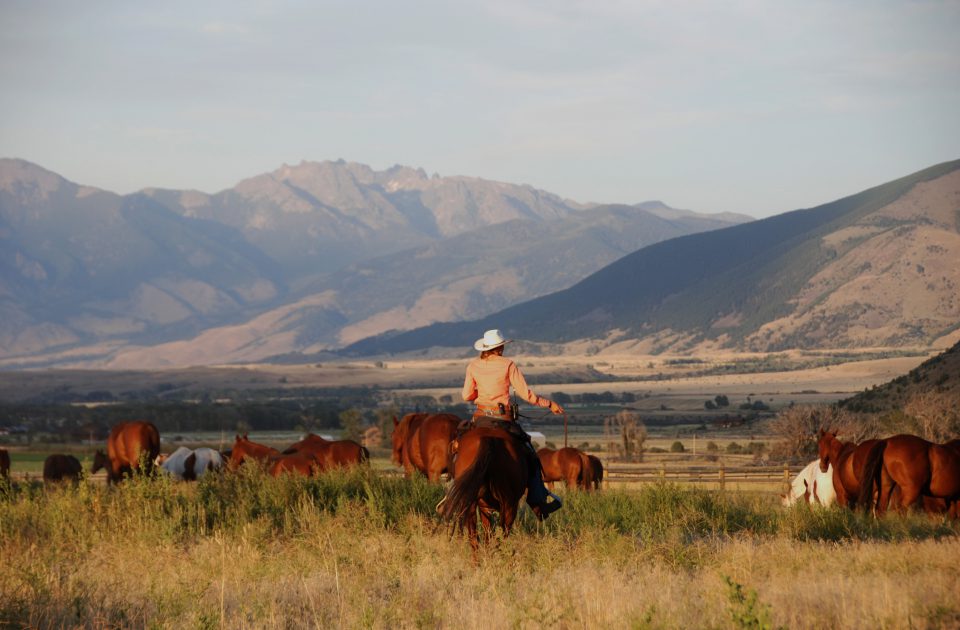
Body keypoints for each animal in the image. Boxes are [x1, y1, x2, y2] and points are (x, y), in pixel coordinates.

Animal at [440, 428, 528, 556]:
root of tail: (488, 439)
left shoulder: (484, 508)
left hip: (471, 503)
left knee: (474, 538)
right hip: (509, 506)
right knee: (501, 535)